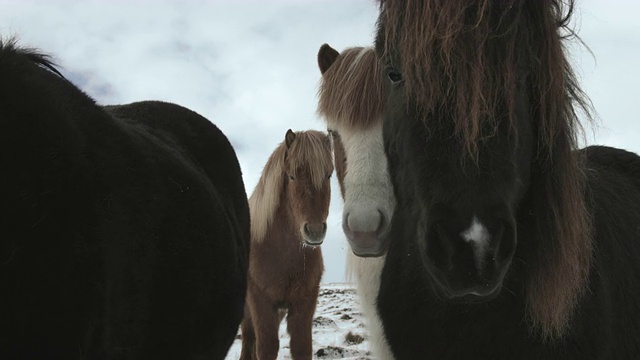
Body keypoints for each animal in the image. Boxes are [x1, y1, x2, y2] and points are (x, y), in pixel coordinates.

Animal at [238, 129, 332, 360]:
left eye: (328, 175)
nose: (314, 231)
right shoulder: (261, 304)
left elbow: (301, 347)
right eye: (292, 176)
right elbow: (266, 347)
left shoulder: (303, 304)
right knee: (248, 338)